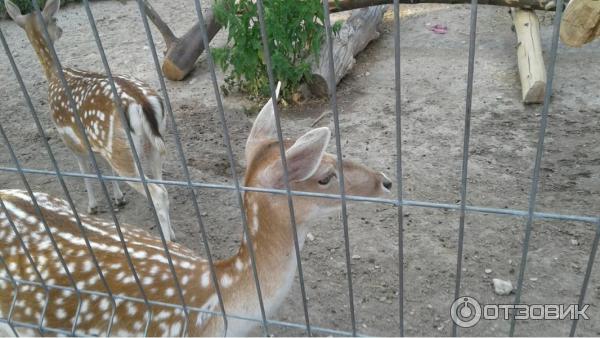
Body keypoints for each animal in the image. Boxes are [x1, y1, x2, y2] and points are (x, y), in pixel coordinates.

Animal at [4, 0, 173, 240]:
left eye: (54, 17)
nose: (61, 30)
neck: (54, 74)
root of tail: (142, 102)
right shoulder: (97, 145)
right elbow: (105, 170)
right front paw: (119, 198)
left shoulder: (69, 138)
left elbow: (85, 171)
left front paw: (92, 206)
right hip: (150, 144)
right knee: (163, 184)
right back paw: (172, 235)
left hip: (121, 153)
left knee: (158, 193)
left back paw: (166, 240)